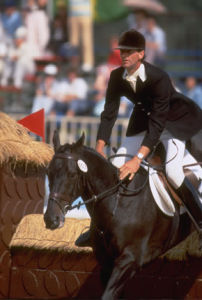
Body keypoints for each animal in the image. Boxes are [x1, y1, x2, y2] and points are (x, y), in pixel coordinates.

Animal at [44, 132, 194, 300]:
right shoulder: (106, 261)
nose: (51, 219)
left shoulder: (129, 260)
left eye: (72, 175)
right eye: (48, 173)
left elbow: (107, 295)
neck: (118, 202)